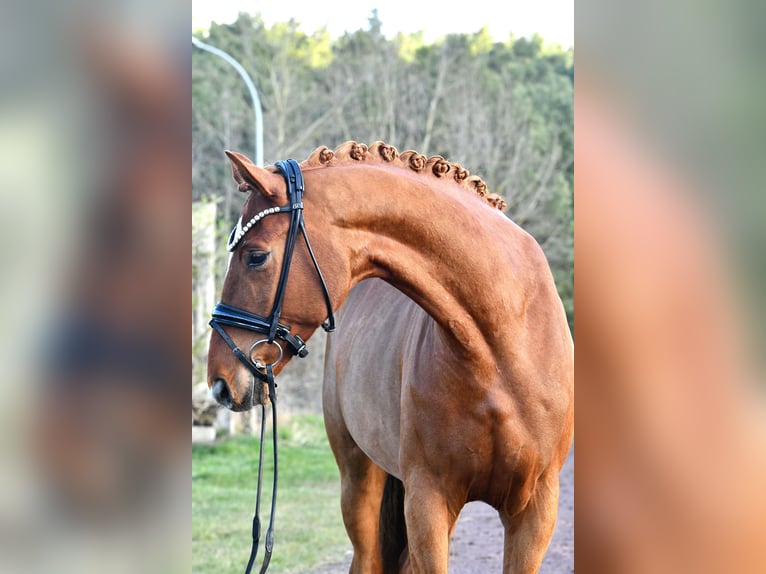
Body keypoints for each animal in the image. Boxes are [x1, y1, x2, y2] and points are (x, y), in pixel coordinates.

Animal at [207, 141, 574, 573]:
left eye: (256, 257)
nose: (219, 382)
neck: (500, 349)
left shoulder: (534, 511)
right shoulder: (428, 501)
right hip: (359, 479)